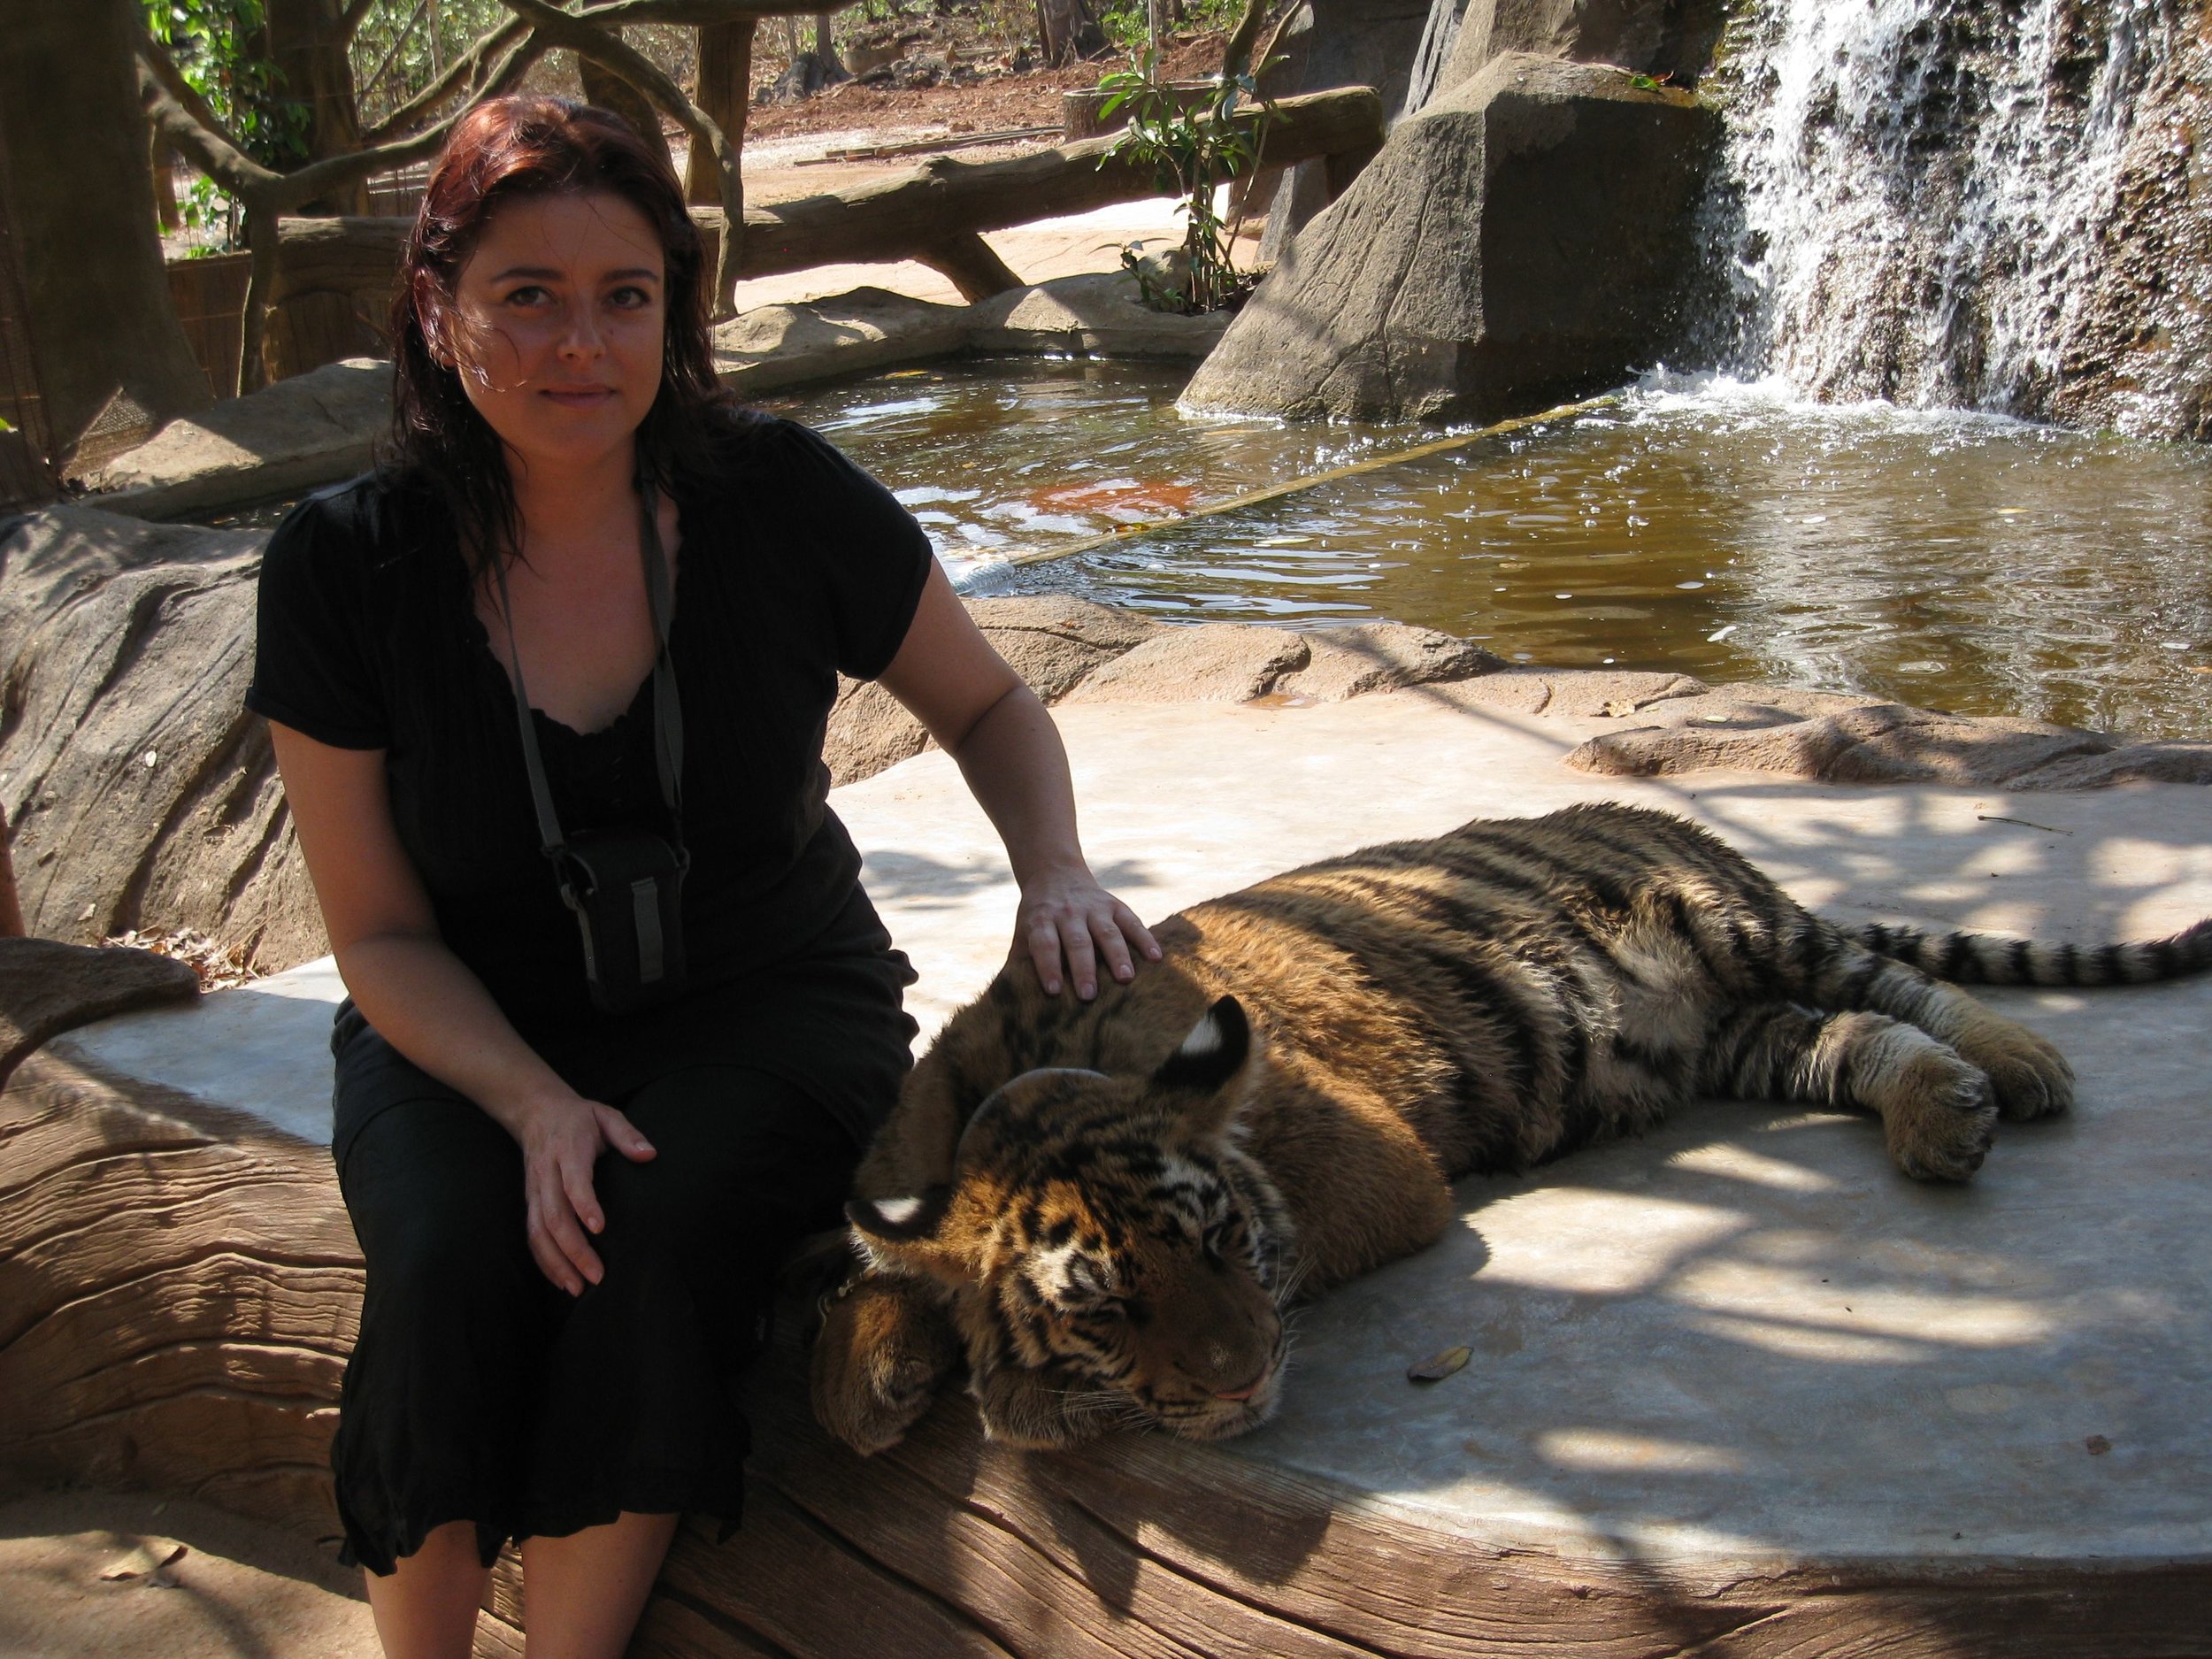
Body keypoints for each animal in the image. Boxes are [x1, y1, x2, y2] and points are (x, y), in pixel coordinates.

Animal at [814, 801, 2212, 1451]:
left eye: (1217, 1245)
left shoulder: (1372, 1174)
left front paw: (1005, 1397)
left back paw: (2018, 1067)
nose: (1247, 1381)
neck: (1018, 1084)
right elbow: (894, 1265)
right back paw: (1941, 1115)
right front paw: (872, 1373)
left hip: (1740, 925)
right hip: (1735, 1037)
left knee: (1902, 981)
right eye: (1106, 1307)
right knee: (1851, 1031)